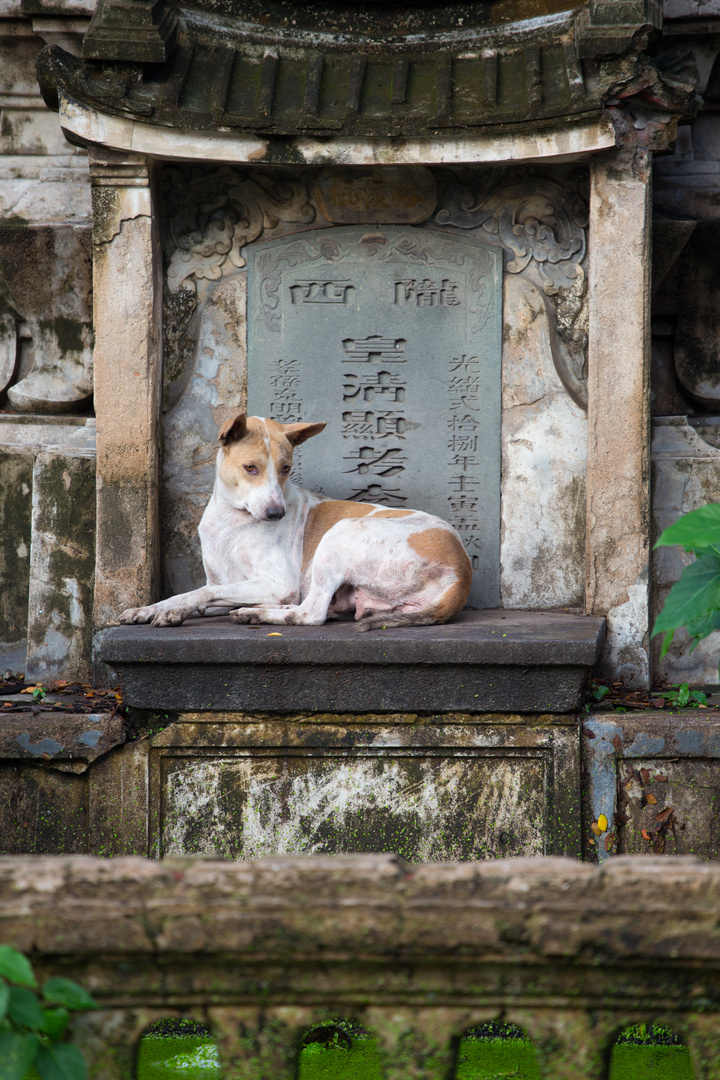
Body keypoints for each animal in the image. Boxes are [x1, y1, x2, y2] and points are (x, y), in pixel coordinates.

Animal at [118, 414, 472, 630]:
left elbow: (202, 595)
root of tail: (462, 572)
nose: (277, 514)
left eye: (286, 468)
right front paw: (155, 609)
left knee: (311, 613)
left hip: (340, 534)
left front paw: (172, 611)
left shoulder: (278, 583)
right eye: (250, 467)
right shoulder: (223, 582)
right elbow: (198, 594)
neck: (233, 521)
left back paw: (256, 614)